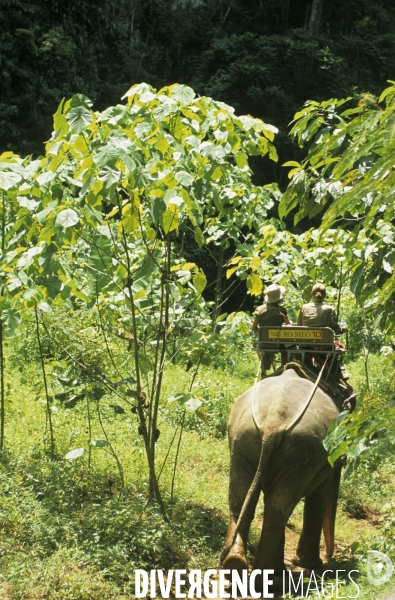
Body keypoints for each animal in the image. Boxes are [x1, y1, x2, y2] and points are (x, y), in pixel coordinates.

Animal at [221, 368, 344, 576]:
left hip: (244, 441)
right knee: (277, 510)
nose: (330, 556)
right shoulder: (324, 463)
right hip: (302, 454)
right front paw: (311, 565)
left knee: (244, 500)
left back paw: (235, 564)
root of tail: (273, 424)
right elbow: (318, 497)